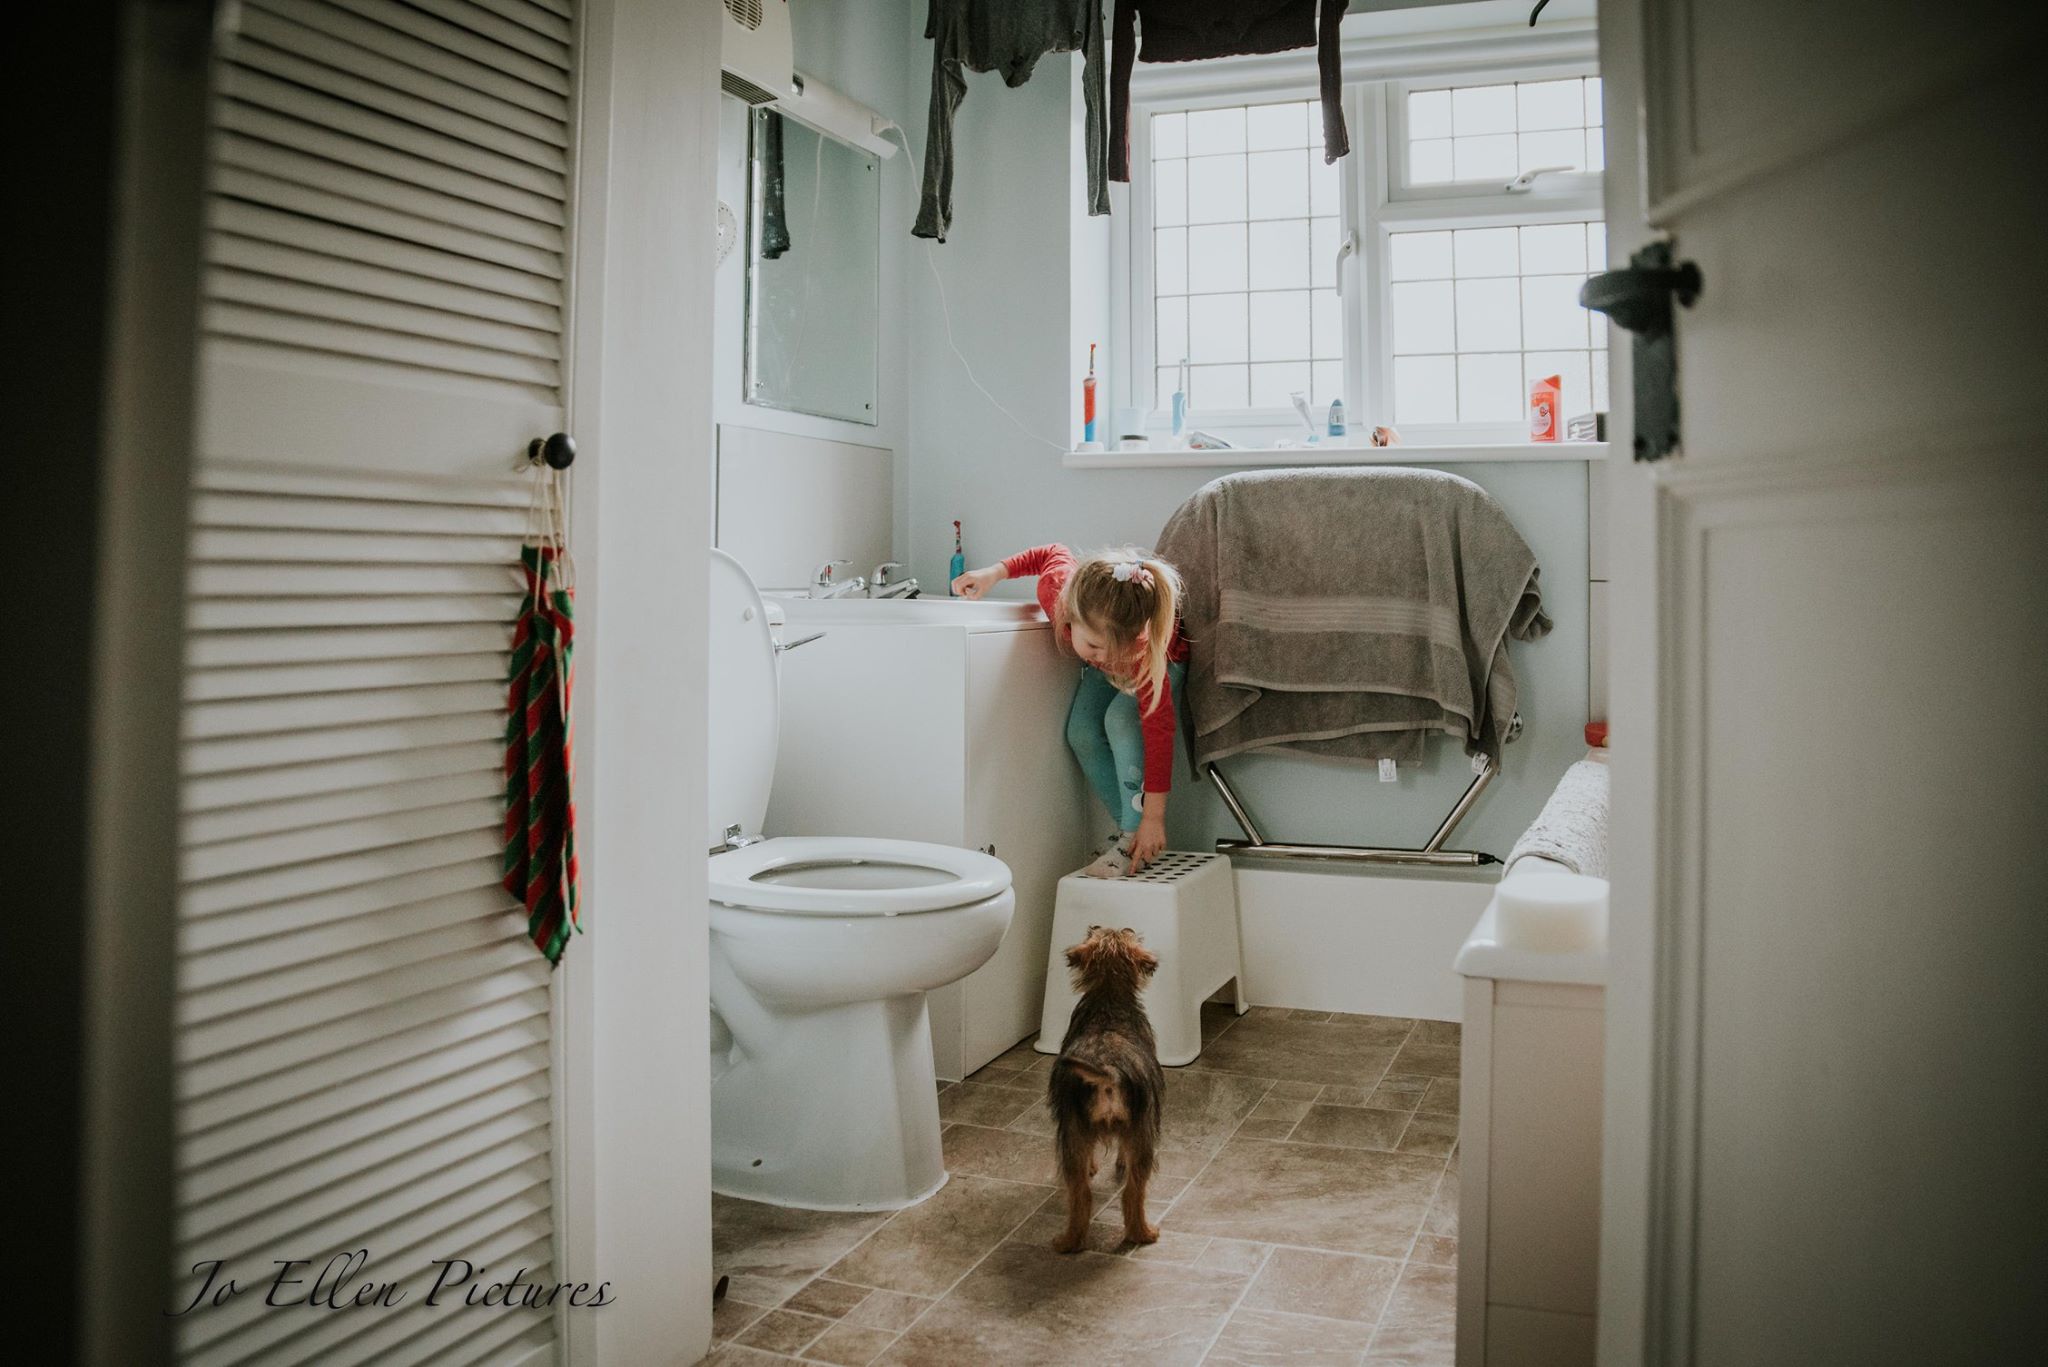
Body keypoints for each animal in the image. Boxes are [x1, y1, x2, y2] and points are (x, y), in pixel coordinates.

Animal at [1048, 926, 1163, 1254]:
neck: (1108, 996)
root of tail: (1108, 1071)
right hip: (1141, 1133)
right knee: (1132, 1191)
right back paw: (1143, 1233)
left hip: (1073, 1134)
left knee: (1082, 1194)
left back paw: (1070, 1241)